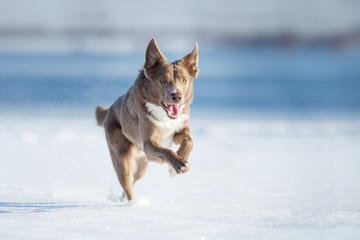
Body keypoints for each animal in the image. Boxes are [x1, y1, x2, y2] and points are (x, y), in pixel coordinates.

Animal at [95, 39, 198, 201]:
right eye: (163, 80)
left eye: (184, 80)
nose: (176, 96)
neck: (164, 116)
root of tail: (109, 110)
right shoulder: (149, 144)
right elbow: (166, 151)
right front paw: (178, 165)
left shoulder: (179, 128)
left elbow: (189, 141)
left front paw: (179, 164)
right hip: (122, 156)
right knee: (127, 182)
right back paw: (133, 204)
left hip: (141, 164)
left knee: (131, 181)